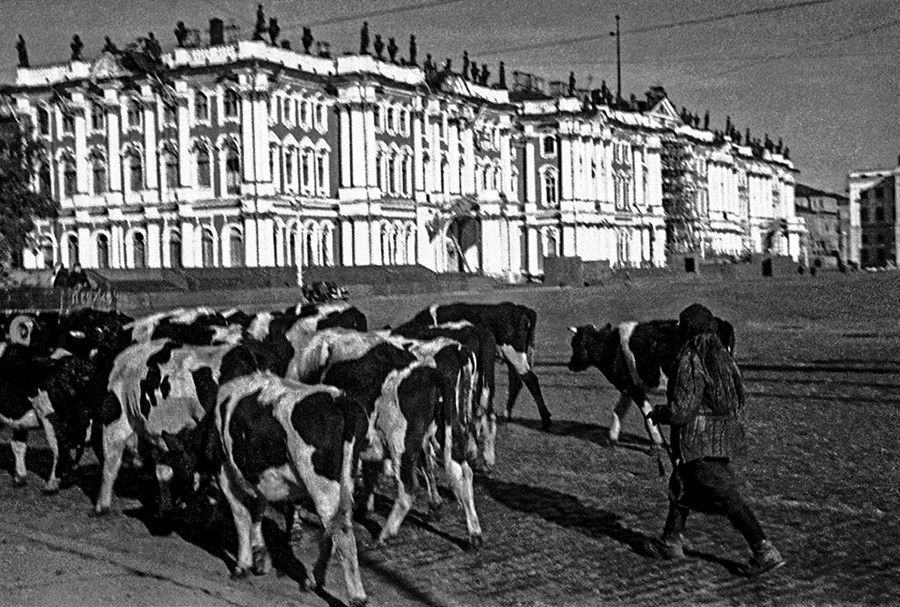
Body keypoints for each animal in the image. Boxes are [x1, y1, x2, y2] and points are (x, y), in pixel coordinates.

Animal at [208, 372, 370, 604]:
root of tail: (339, 399)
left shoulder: (225, 472)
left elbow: (241, 516)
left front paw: (243, 565)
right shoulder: (258, 479)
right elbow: (257, 511)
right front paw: (260, 557)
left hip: (322, 484)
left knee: (340, 528)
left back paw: (356, 596)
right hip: (345, 480)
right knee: (333, 525)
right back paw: (313, 582)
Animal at [400, 302, 552, 430]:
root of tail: (520, 309)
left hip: (514, 353)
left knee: (530, 379)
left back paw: (545, 421)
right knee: (516, 380)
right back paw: (506, 415)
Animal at [568, 318, 740, 452]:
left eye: (575, 345)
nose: (570, 365)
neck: (611, 347)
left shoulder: (634, 389)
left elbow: (647, 413)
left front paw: (657, 444)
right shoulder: (629, 387)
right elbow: (619, 411)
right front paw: (611, 438)